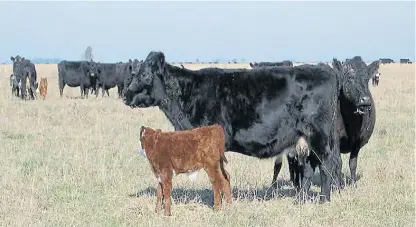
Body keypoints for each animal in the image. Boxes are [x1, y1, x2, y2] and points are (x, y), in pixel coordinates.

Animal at [123, 51, 348, 202]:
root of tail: (326, 70)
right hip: (305, 139)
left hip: (319, 135)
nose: (125, 95)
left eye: (144, 76)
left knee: (327, 163)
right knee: (310, 166)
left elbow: (217, 175)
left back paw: (324, 199)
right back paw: (300, 199)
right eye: (133, 74)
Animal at [272, 56, 380, 192]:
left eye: (367, 78)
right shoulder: (335, 140)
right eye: (349, 78)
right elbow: (338, 162)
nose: (365, 100)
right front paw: (338, 186)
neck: (350, 121)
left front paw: (353, 183)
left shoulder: (358, 142)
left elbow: (353, 163)